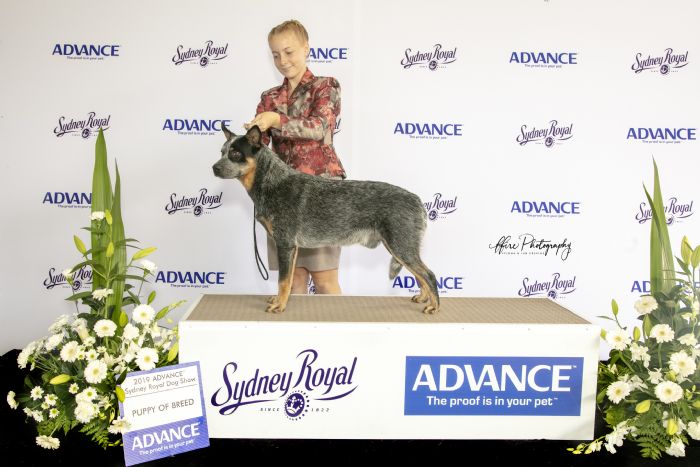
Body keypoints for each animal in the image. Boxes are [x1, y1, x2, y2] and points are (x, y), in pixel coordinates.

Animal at [212, 124, 439, 314]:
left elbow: (283, 281)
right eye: (222, 152)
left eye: (235, 153)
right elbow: (287, 281)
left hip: (400, 247)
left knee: (429, 274)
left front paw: (279, 305)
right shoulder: (291, 248)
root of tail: (418, 200)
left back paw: (434, 306)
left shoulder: (285, 244)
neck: (271, 182)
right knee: (420, 275)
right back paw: (423, 298)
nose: (214, 167)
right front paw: (278, 301)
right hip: (401, 248)